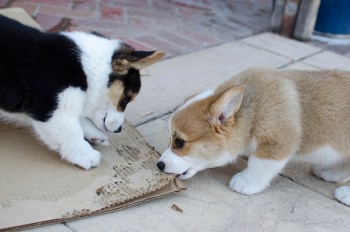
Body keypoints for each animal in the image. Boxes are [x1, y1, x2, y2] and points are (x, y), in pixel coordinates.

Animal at [0, 15, 165, 169]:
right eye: (125, 100)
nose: (119, 130)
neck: (86, 66)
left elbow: (77, 117)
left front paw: (94, 134)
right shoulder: (50, 105)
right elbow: (69, 130)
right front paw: (86, 155)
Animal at [157, 67, 350, 207]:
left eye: (179, 142)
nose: (159, 165)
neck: (252, 110)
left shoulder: (278, 143)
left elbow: (259, 165)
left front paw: (245, 182)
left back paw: (345, 194)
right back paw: (329, 172)